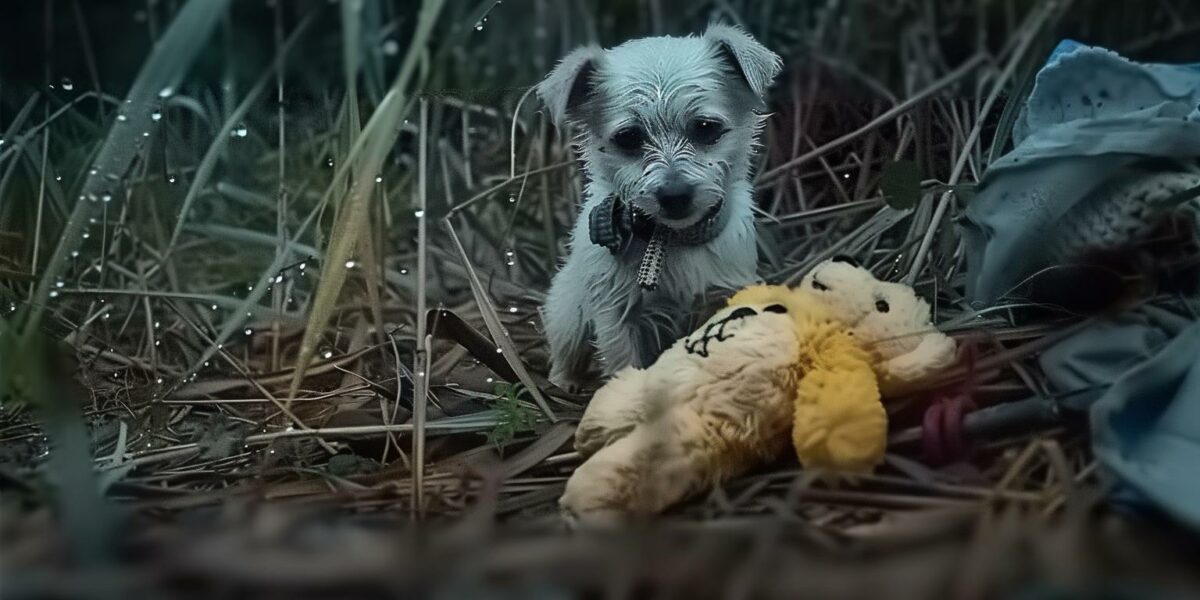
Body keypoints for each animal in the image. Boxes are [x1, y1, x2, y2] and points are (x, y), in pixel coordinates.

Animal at [535, 25, 777, 386]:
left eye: (706, 128)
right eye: (629, 138)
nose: (675, 195)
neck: (671, 239)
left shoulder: (722, 297)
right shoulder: (618, 316)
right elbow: (626, 367)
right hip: (569, 314)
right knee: (567, 352)